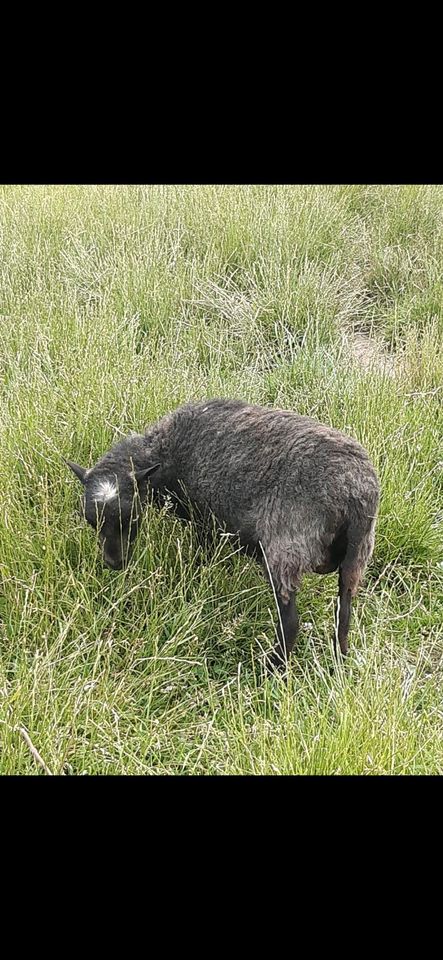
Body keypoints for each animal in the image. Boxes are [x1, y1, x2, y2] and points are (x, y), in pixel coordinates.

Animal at [66, 398, 382, 668]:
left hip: (287, 548)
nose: (114, 564)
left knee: (290, 622)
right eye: (91, 521)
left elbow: (202, 554)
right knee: (344, 612)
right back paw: (339, 661)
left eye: (131, 518)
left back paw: (272, 669)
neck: (166, 452)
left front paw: (197, 576)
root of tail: (354, 491)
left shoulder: (202, 519)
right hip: (357, 554)